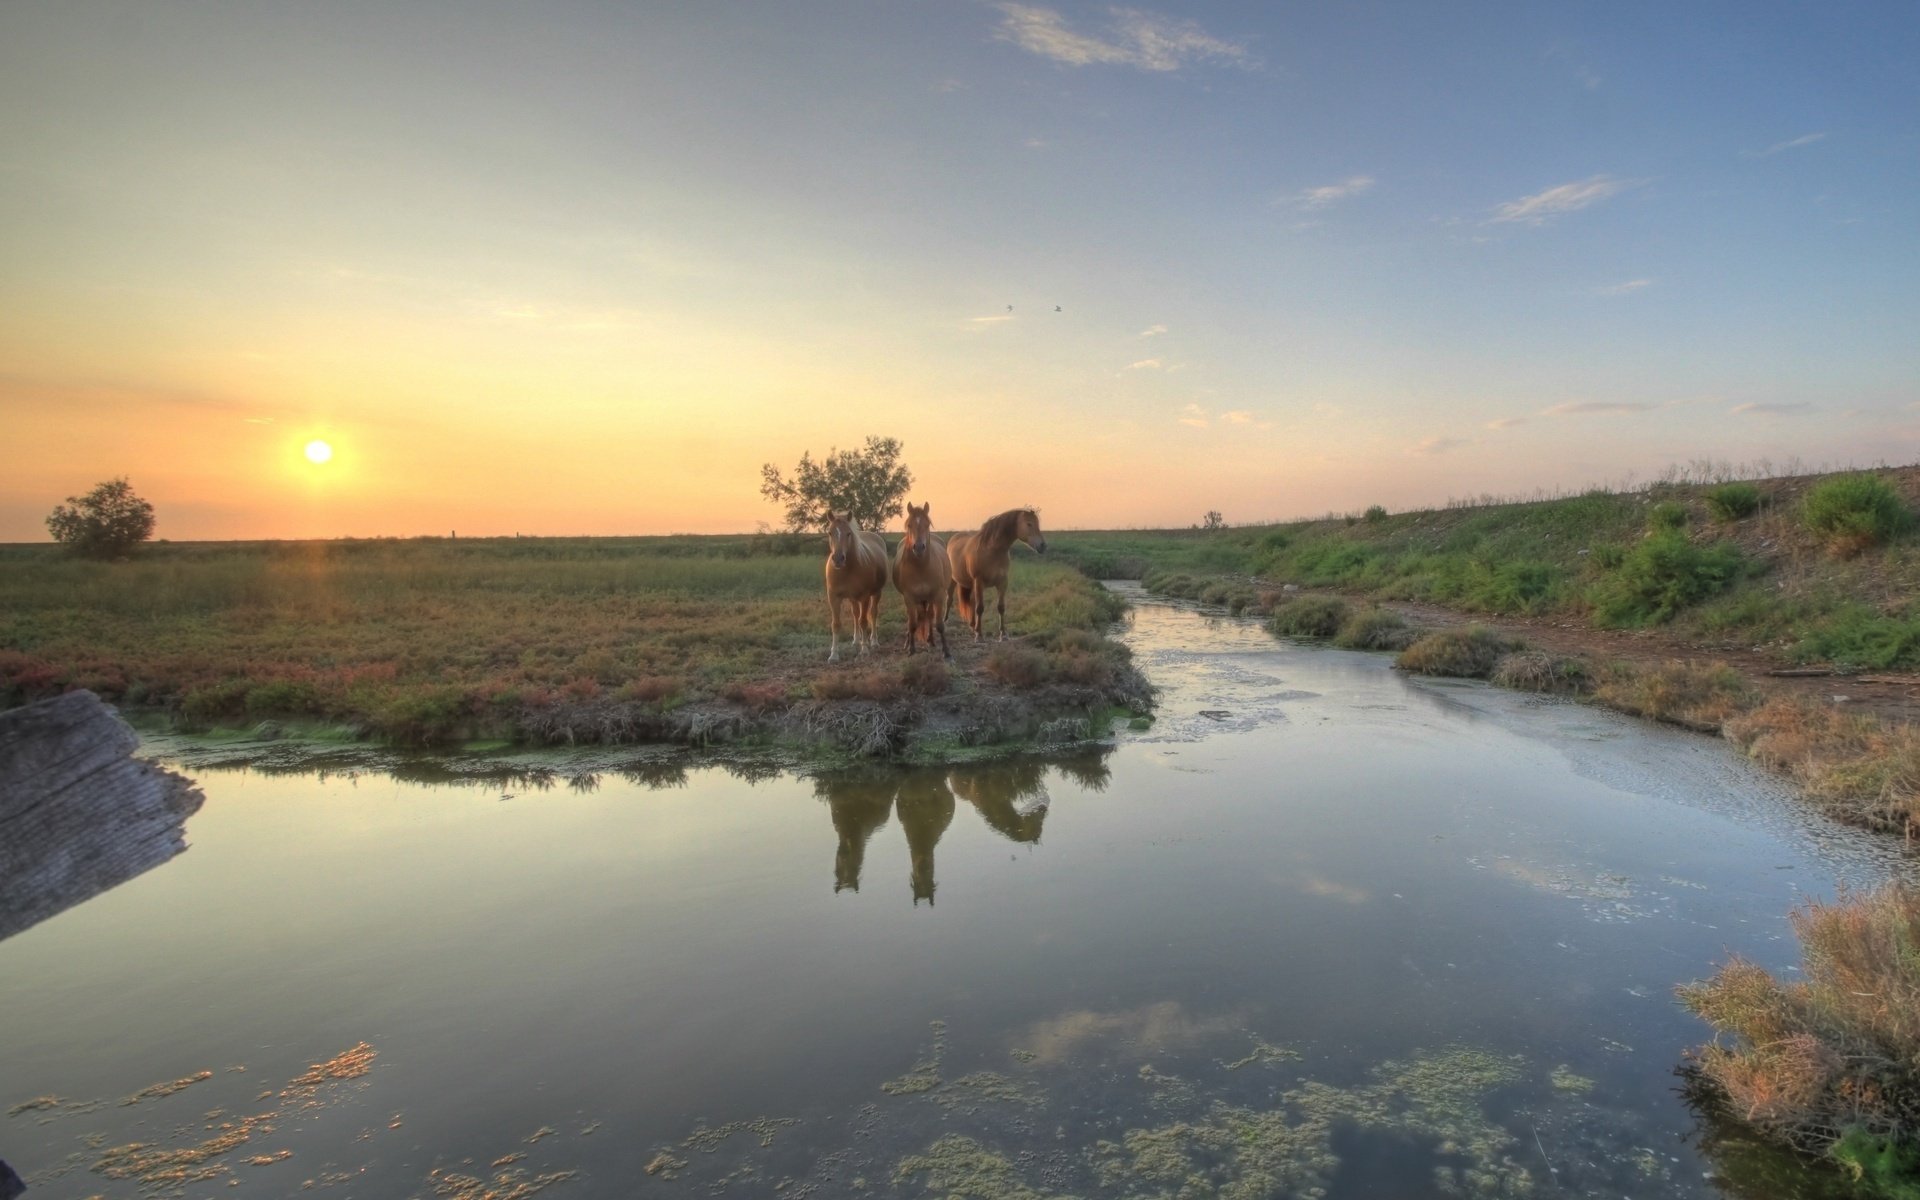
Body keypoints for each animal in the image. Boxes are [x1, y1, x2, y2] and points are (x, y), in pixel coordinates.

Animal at [824, 511, 888, 661]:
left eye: (848, 533)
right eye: (830, 532)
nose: (838, 559)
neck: (847, 570)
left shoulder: (864, 597)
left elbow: (863, 621)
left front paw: (864, 650)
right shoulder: (833, 597)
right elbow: (836, 624)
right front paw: (834, 654)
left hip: (876, 593)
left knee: (873, 613)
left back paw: (873, 642)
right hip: (853, 598)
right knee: (855, 615)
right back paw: (856, 641)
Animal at [892, 502, 952, 659]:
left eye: (927, 524)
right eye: (909, 525)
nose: (919, 547)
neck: (921, 568)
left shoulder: (938, 595)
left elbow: (939, 624)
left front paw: (946, 651)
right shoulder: (909, 598)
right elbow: (912, 623)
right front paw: (911, 649)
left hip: (929, 599)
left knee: (929, 616)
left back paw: (931, 640)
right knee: (914, 618)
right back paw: (907, 643)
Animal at [947, 508, 1047, 641]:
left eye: (1037, 523)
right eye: (1029, 524)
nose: (1043, 546)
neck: (992, 550)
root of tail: (954, 538)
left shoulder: (1002, 582)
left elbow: (1001, 607)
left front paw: (1003, 634)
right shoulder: (979, 581)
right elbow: (980, 608)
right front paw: (979, 635)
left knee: (971, 602)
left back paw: (973, 626)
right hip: (953, 581)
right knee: (949, 599)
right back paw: (945, 622)